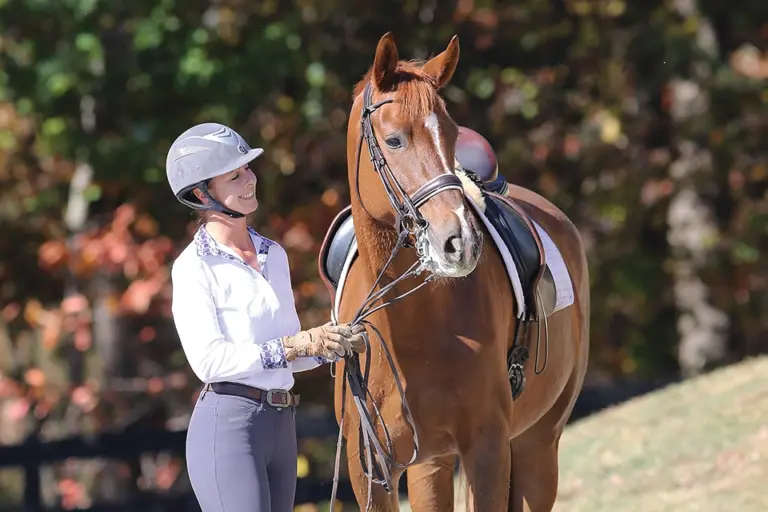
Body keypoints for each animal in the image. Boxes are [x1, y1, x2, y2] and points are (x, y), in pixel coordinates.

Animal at [317, 32, 590, 511]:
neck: (409, 327)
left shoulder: (487, 448)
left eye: (451, 134)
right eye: (394, 141)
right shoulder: (369, 466)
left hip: (539, 444)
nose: (458, 242)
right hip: (432, 463)